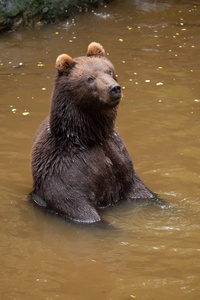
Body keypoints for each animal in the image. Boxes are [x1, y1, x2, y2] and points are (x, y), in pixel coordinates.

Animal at [31, 41, 153, 223]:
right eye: (90, 78)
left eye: (109, 70)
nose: (114, 88)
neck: (92, 136)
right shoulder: (66, 170)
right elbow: (78, 207)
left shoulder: (120, 159)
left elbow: (142, 191)